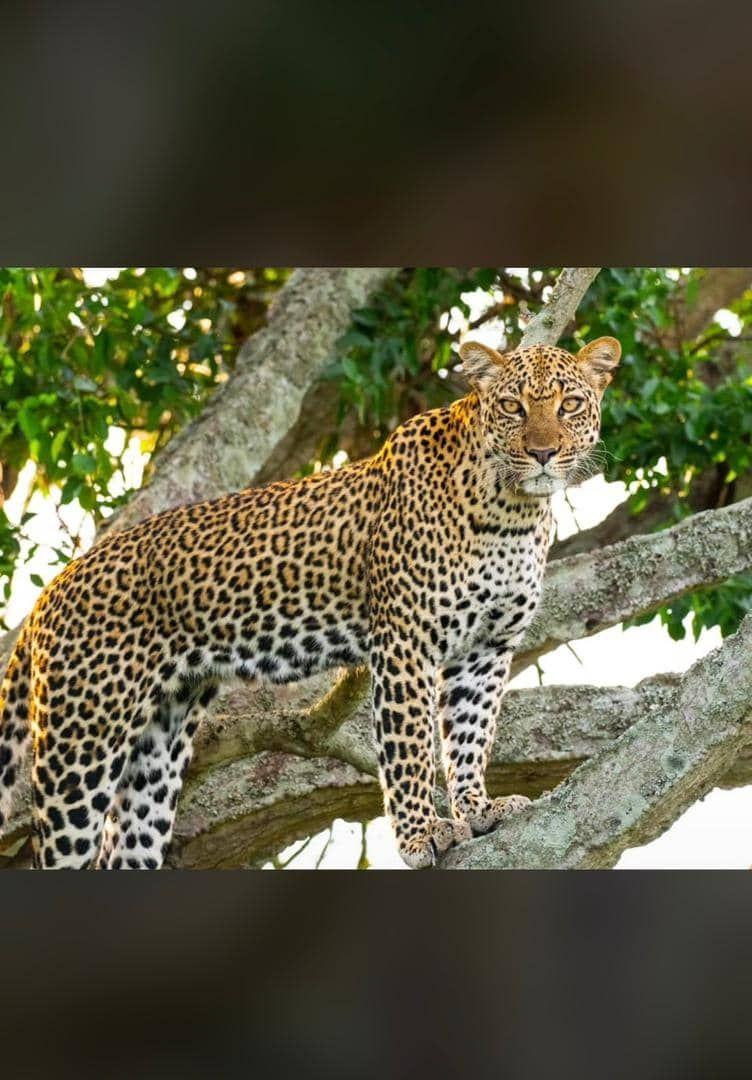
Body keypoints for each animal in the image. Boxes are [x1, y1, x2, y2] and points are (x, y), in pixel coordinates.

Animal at [0, 335, 620, 869]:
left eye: (568, 404)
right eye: (513, 406)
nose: (543, 453)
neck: (513, 513)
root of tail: (49, 593)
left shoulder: (487, 648)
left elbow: (469, 738)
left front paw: (479, 810)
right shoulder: (406, 644)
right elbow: (411, 749)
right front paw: (422, 834)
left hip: (159, 741)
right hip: (83, 743)